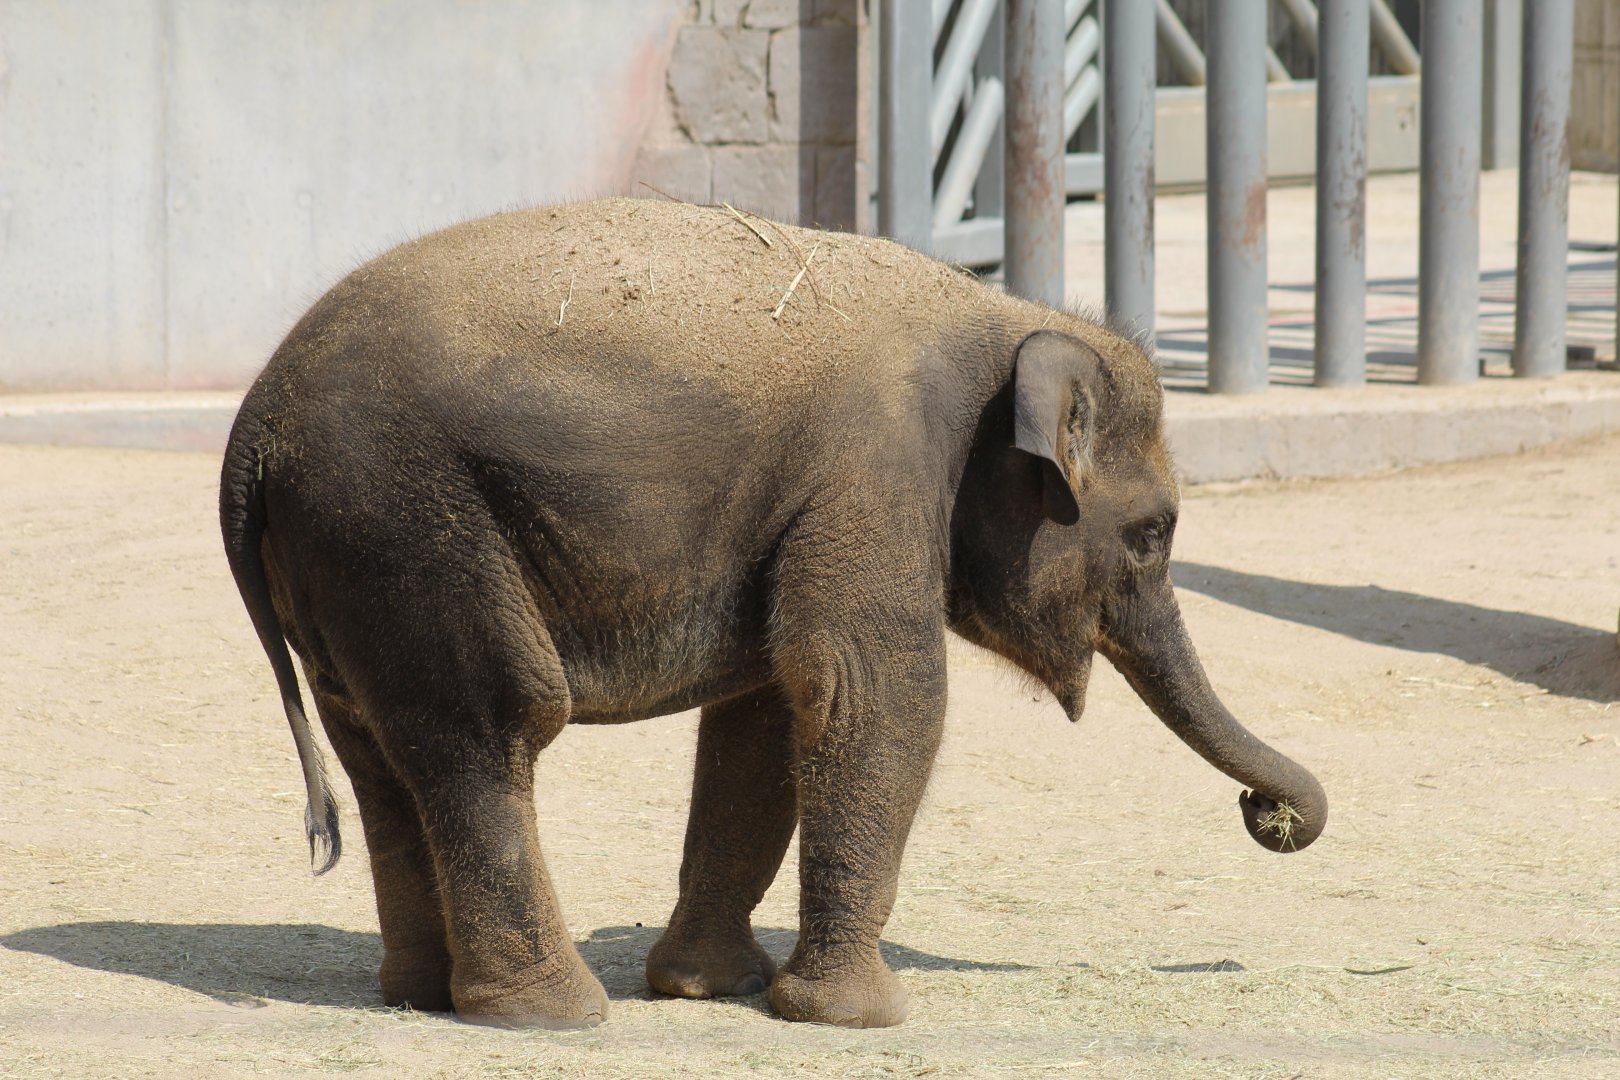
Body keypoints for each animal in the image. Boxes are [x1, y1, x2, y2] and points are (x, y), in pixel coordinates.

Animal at [219, 196, 1326, 1030]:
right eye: (1153, 534)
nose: (1264, 813)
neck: (998, 319)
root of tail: (254, 425)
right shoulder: (876, 474)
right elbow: (871, 694)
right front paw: (857, 1019)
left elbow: (762, 721)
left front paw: (710, 989)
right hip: (406, 524)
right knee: (492, 724)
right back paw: (553, 1016)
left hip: (345, 561)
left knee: (376, 749)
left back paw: (422, 998)